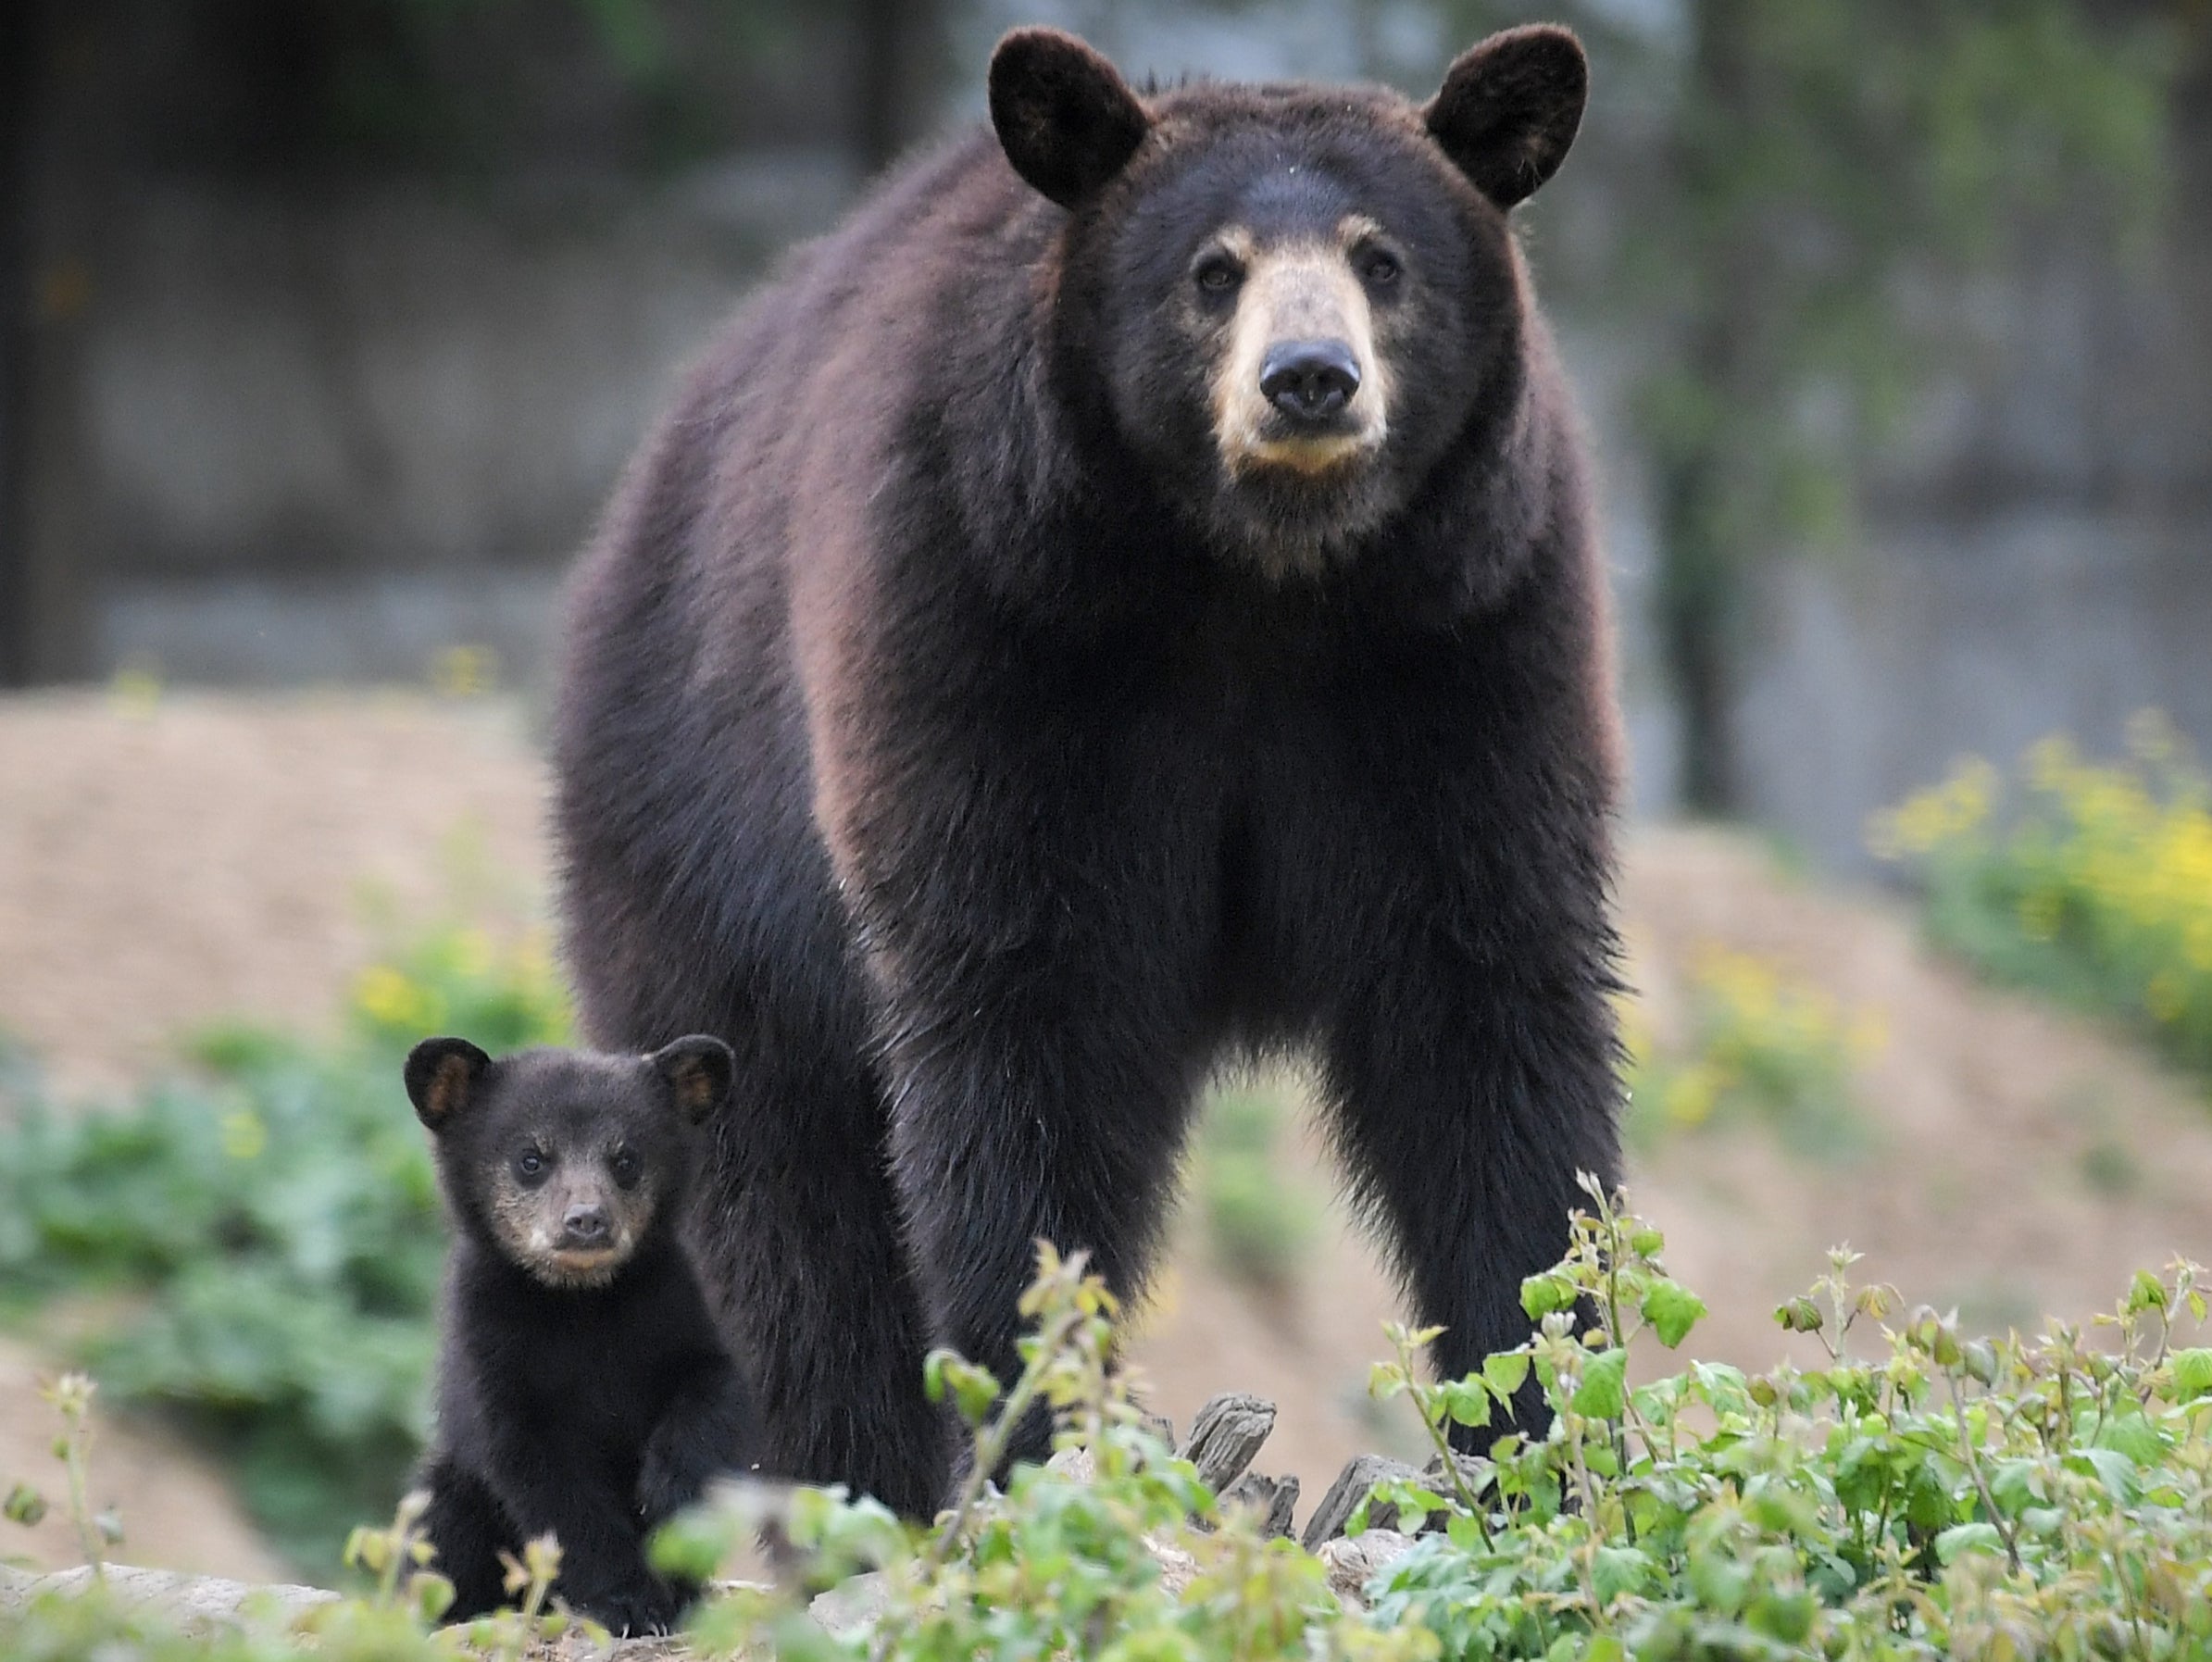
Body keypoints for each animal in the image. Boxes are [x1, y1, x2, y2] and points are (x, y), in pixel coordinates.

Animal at [411, 1035, 756, 1629]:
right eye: (531, 1160)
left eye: (627, 1160)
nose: (587, 1221)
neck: (581, 1305)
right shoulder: (492, 1354)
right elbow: (550, 1486)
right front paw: (630, 1604)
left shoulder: (674, 1307)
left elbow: (711, 1385)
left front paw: (666, 1495)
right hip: (452, 1488)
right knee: (437, 1528)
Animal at [553, 22, 1628, 1522]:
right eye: (1213, 270)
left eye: (1382, 259)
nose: (1309, 377)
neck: (1259, 578)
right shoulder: (992, 618)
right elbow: (1023, 1015)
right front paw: (1034, 1423)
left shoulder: (1468, 629)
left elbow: (1488, 1005)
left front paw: (1543, 1420)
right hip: (701, 851)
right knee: (785, 1219)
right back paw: (828, 1479)